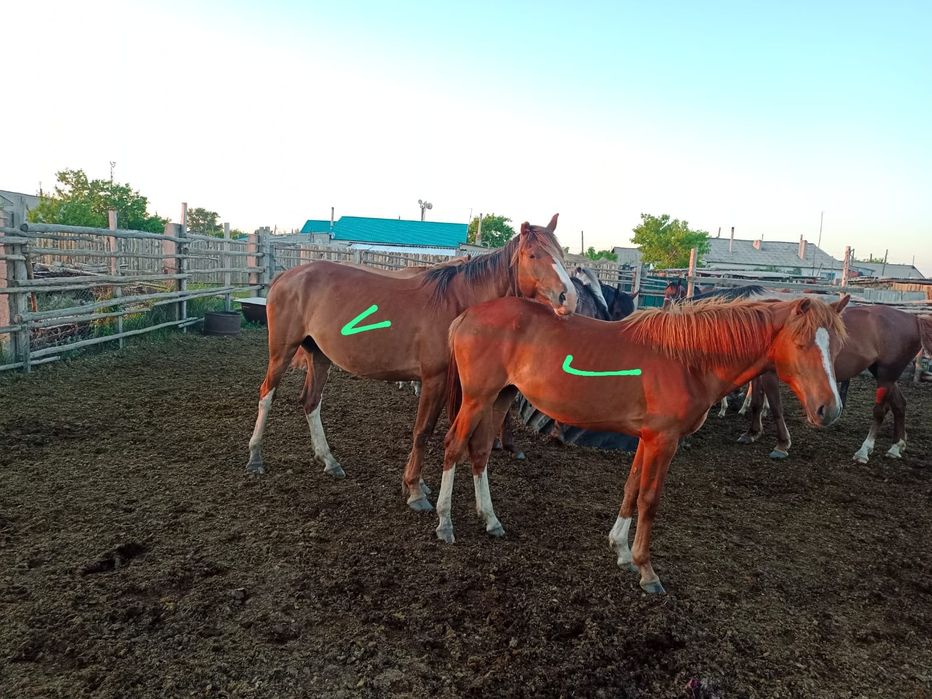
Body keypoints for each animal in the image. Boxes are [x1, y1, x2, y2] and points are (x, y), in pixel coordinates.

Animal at [246, 214, 578, 513]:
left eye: (561, 256)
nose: (569, 297)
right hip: (282, 352)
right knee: (266, 394)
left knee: (310, 401)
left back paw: (329, 460)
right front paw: (416, 491)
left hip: (319, 356)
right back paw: (255, 457)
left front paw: (417, 485)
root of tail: (286, 276)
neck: (457, 304)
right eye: (533, 255)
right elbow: (423, 432)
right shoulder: (434, 380)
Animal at [436, 294, 850, 594]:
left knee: (480, 452)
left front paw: (620, 549)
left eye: (837, 347)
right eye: (801, 343)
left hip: (500, 397)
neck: (690, 360)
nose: (829, 409)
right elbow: (650, 500)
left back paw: (491, 520)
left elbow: (631, 488)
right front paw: (646, 570)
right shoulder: (664, 441)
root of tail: (467, 315)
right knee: (453, 447)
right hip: (477, 399)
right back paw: (444, 523)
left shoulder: (646, 439)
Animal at [739, 305, 932, 461]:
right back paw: (896, 447)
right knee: (899, 404)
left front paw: (781, 445)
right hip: (884, 375)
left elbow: (776, 407)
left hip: (886, 376)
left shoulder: (770, 374)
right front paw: (751, 433)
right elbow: (756, 402)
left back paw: (864, 451)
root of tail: (914, 319)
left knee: (880, 411)